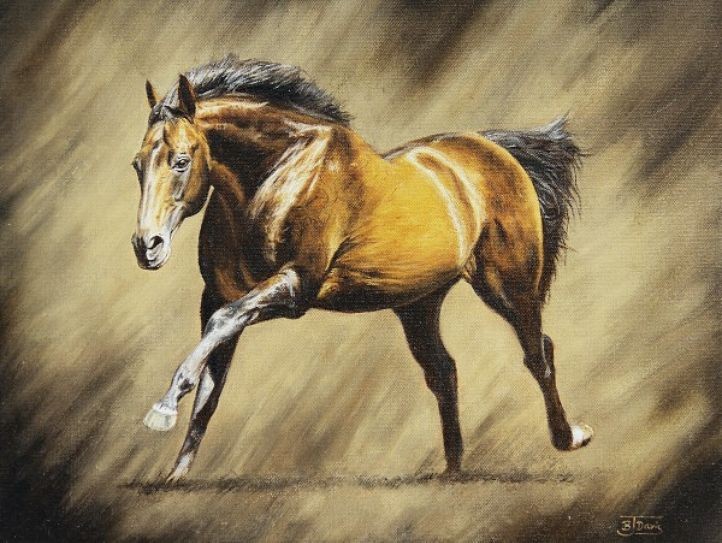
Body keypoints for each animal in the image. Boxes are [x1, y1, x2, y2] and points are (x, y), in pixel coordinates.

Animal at [132, 55, 591, 482]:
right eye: (138, 164)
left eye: (180, 160)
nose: (146, 246)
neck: (279, 173)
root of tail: (495, 152)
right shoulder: (216, 296)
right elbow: (210, 388)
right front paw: (175, 476)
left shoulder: (294, 287)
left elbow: (220, 332)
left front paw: (162, 409)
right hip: (418, 305)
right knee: (443, 372)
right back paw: (452, 470)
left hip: (508, 287)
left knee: (538, 352)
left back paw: (569, 437)